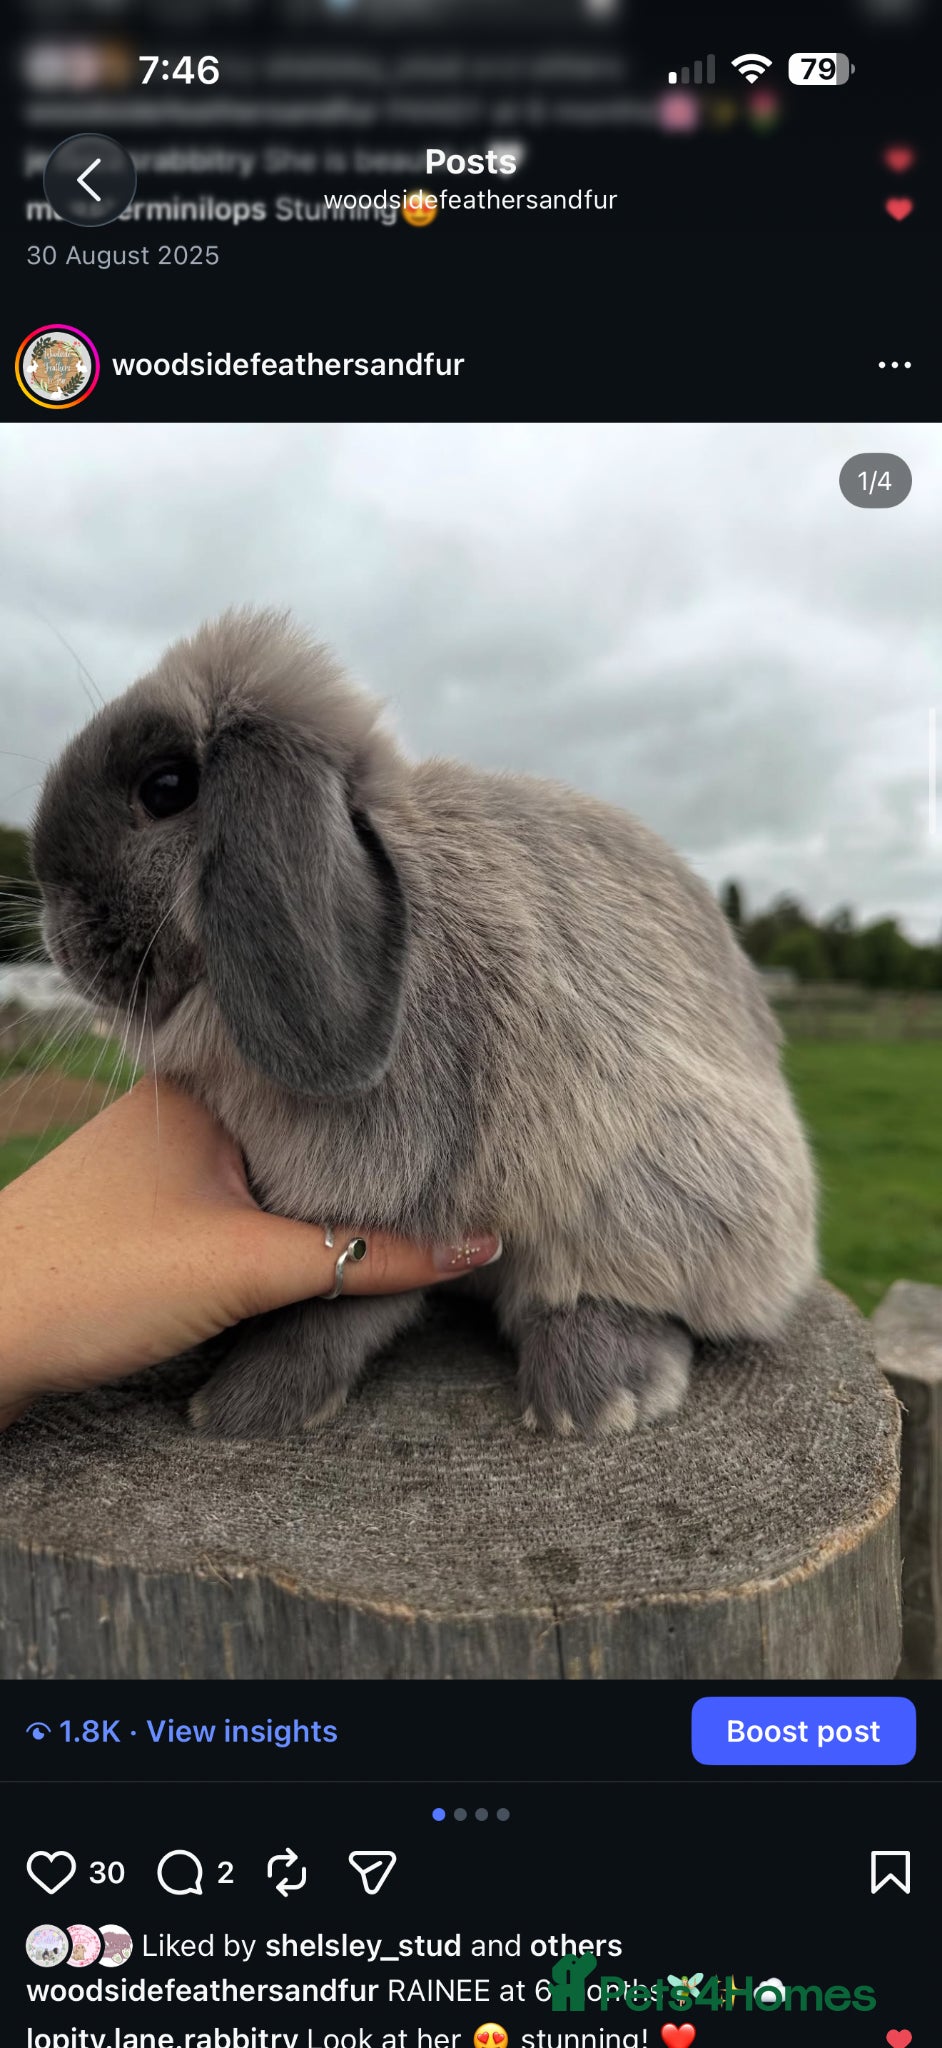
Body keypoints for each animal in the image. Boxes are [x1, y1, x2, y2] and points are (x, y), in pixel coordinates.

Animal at [31, 610, 817, 1439]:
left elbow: (332, 1312)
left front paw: (244, 1406)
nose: (55, 933)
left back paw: (598, 1397)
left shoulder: (393, 1199)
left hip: (670, 1191)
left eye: (167, 787)